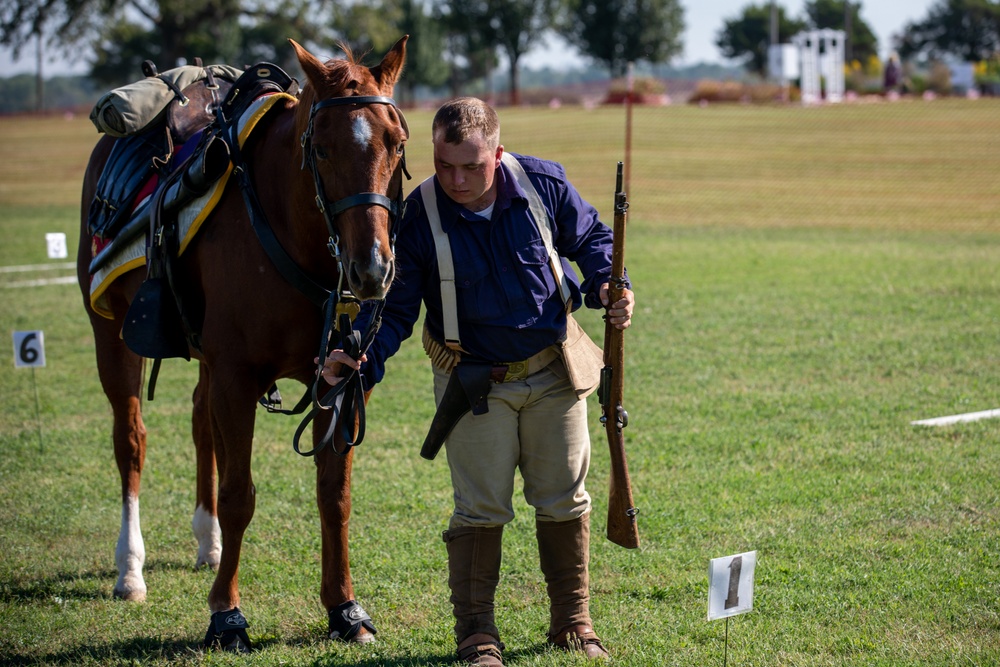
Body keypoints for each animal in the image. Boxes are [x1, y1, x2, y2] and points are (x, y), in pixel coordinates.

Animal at [74, 35, 410, 652]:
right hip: (110, 332)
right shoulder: (236, 374)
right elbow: (239, 496)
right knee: (130, 439)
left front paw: (344, 608)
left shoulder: (343, 378)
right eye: (320, 149)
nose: (372, 269)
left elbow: (334, 494)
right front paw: (226, 616)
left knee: (199, 420)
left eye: (395, 144)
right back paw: (130, 569)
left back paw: (206, 543)